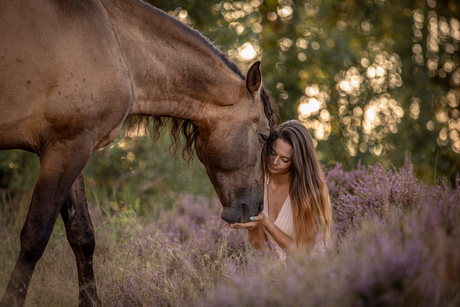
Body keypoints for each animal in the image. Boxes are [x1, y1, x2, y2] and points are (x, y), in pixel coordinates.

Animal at [0, 1, 276, 306]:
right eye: (264, 136)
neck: (117, 44)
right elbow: (35, 238)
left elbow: (82, 235)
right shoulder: (66, 148)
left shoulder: (72, 148)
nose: (257, 208)